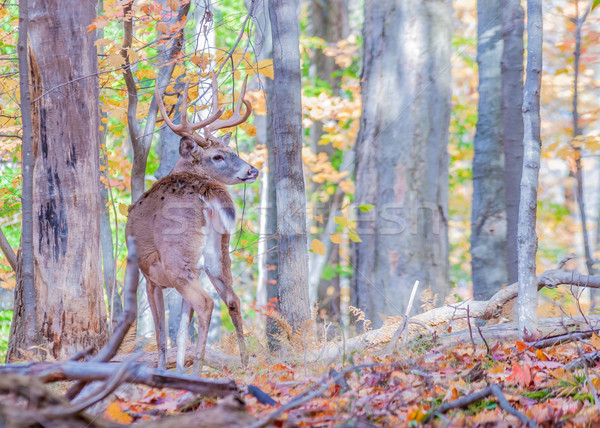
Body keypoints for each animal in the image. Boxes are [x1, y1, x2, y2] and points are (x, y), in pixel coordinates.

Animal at [125, 75, 256, 372]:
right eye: (219, 155)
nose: (252, 170)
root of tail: (206, 188)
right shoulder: (193, 269)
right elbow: (183, 331)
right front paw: (178, 369)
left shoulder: (150, 275)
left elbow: (162, 332)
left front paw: (164, 370)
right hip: (218, 254)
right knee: (232, 299)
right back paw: (244, 363)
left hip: (176, 258)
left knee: (206, 303)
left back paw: (198, 368)